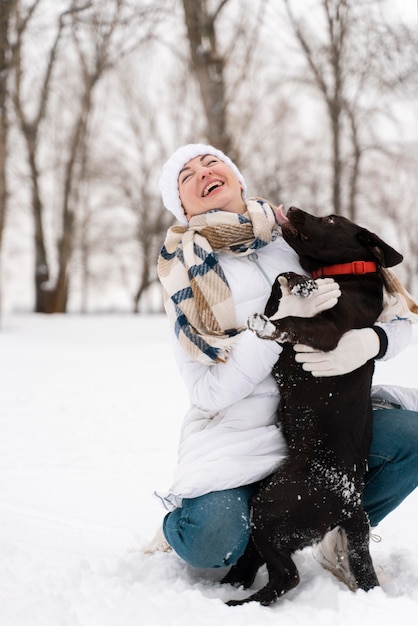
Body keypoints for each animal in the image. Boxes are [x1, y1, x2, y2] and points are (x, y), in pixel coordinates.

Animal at [224, 206, 404, 604]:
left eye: (333, 220)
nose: (292, 209)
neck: (345, 276)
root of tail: (352, 506)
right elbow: (277, 290)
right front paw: (296, 282)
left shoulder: (331, 333)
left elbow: (288, 319)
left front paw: (278, 314)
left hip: (271, 507)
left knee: (286, 576)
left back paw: (241, 603)